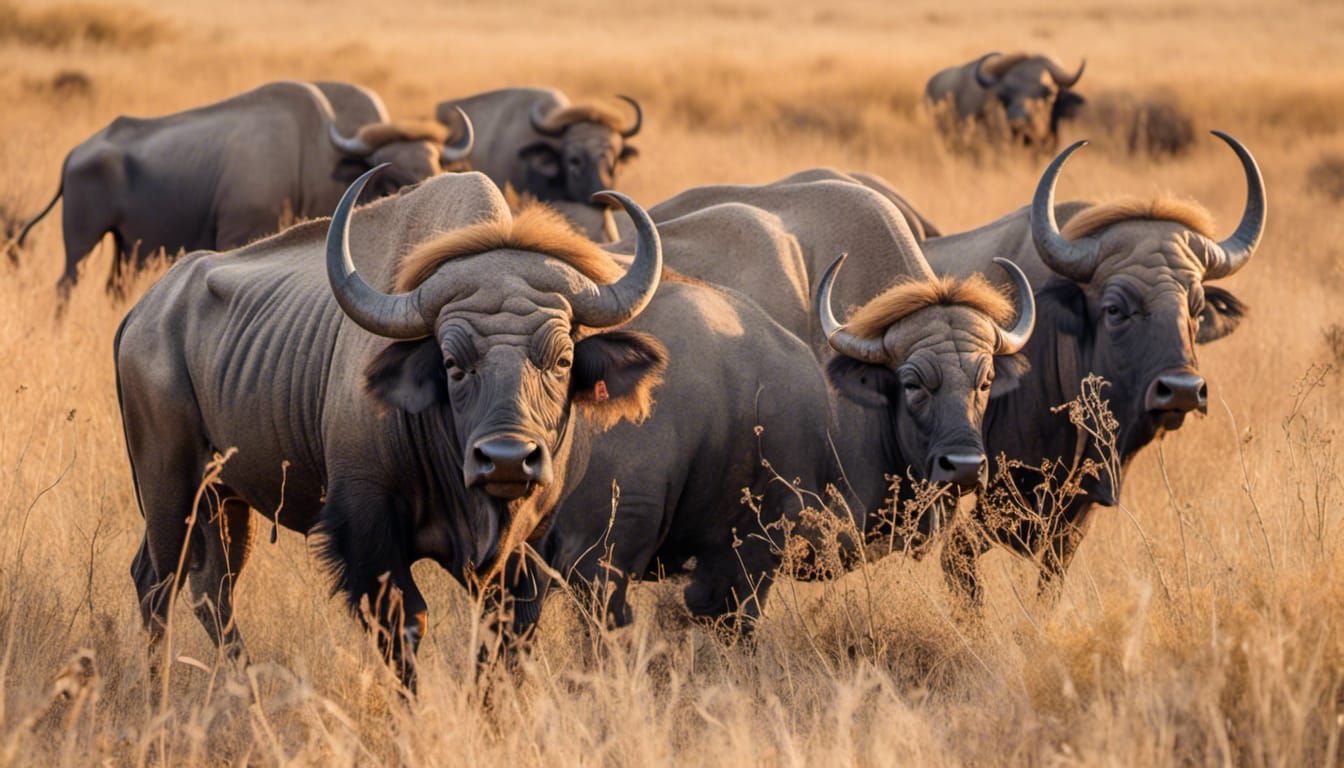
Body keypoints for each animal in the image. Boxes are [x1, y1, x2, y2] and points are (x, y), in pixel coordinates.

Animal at [17, 81, 472, 299]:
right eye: (389, 176)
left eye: (436, 165)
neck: (310, 150)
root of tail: (76, 152)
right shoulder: (240, 235)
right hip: (82, 243)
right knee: (66, 285)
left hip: (125, 248)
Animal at [114, 167, 664, 687]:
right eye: (452, 363)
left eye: (562, 359)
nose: (507, 459)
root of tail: (145, 311)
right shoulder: (366, 529)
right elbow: (406, 626)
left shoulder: (529, 546)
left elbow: (502, 641)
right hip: (169, 490)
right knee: (158, 585)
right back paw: (160, 695)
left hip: (225, 500)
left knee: (211, 588)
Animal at [921, 131, 1264, 604]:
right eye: (1116, 309)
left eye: (1195, 311)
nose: (1181, 390)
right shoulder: (995, 499)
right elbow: (958, 561)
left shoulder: (1073, 518)